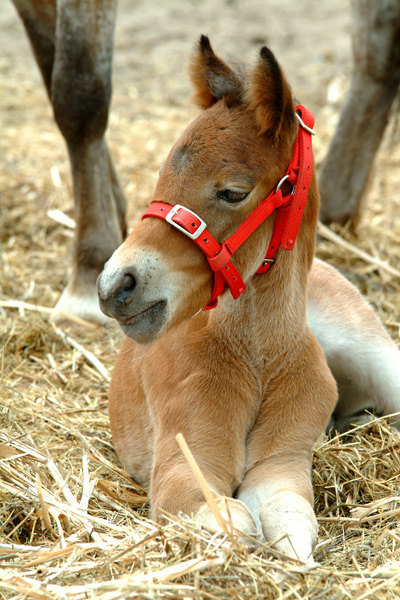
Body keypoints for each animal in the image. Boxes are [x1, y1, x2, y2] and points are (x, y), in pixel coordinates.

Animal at [98, 38, 400, 564]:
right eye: (162, 174)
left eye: (233, 192)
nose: (116, 285)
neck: (258, 356)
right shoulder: (185, 462)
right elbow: (233, 521)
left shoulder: (284, 461)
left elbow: (286, 515)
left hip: (378, 358)